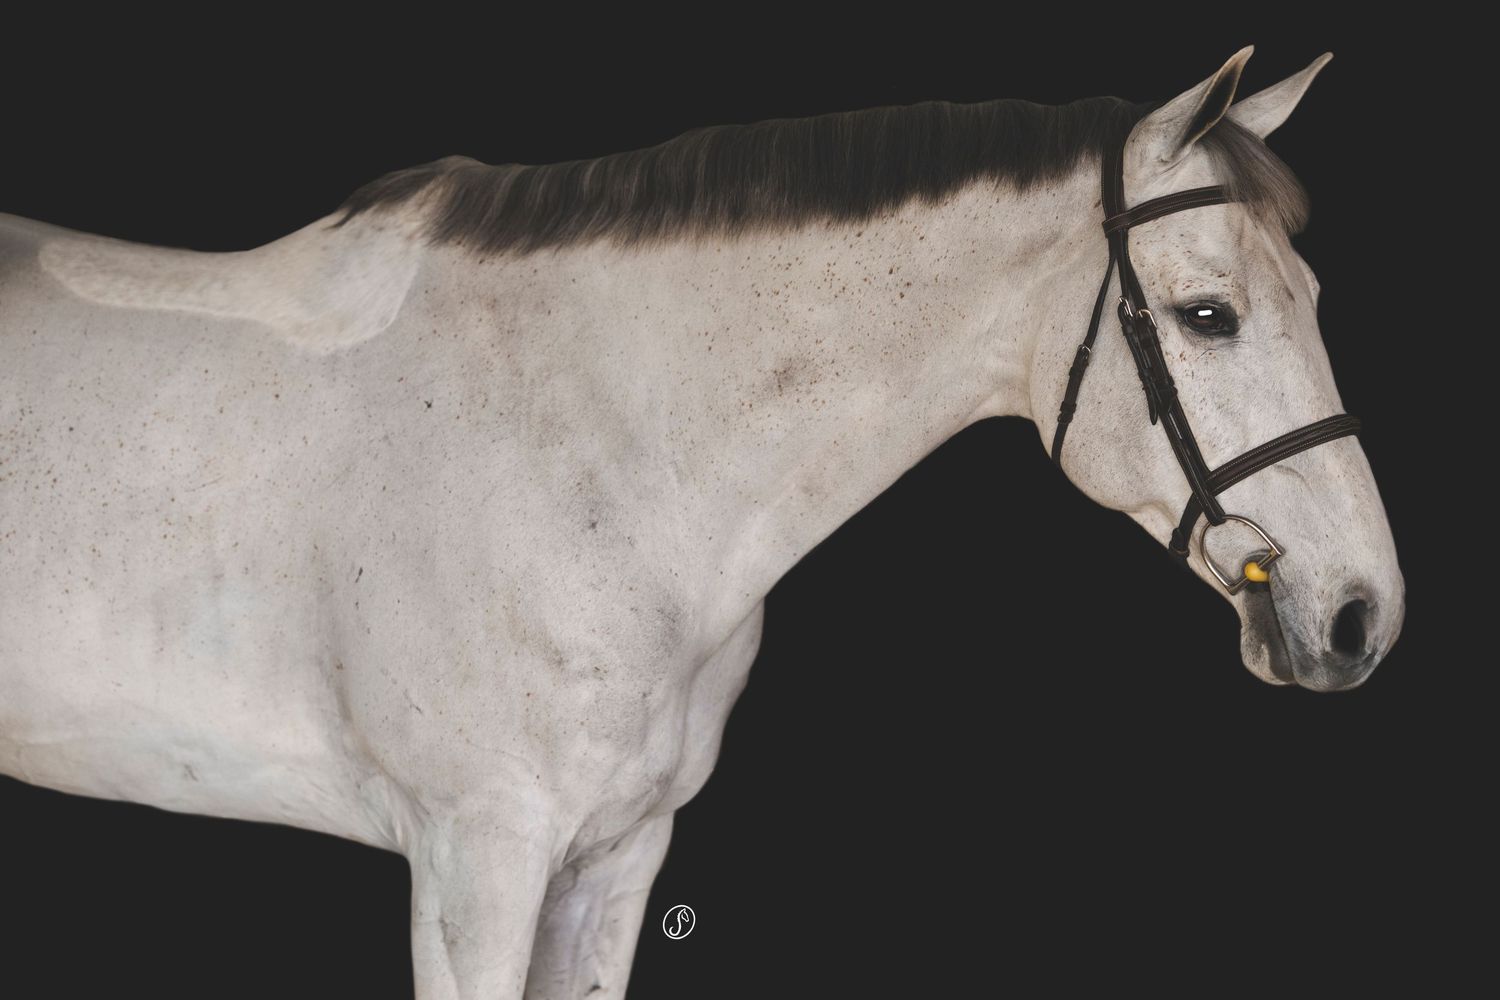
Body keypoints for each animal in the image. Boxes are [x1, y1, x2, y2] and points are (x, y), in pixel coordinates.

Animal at [0, 46, 1403, 998]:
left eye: (1314, 289)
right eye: (1212, 315)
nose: (1360, 613)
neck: (593, 448)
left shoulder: (616, 859)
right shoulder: (474, 863)